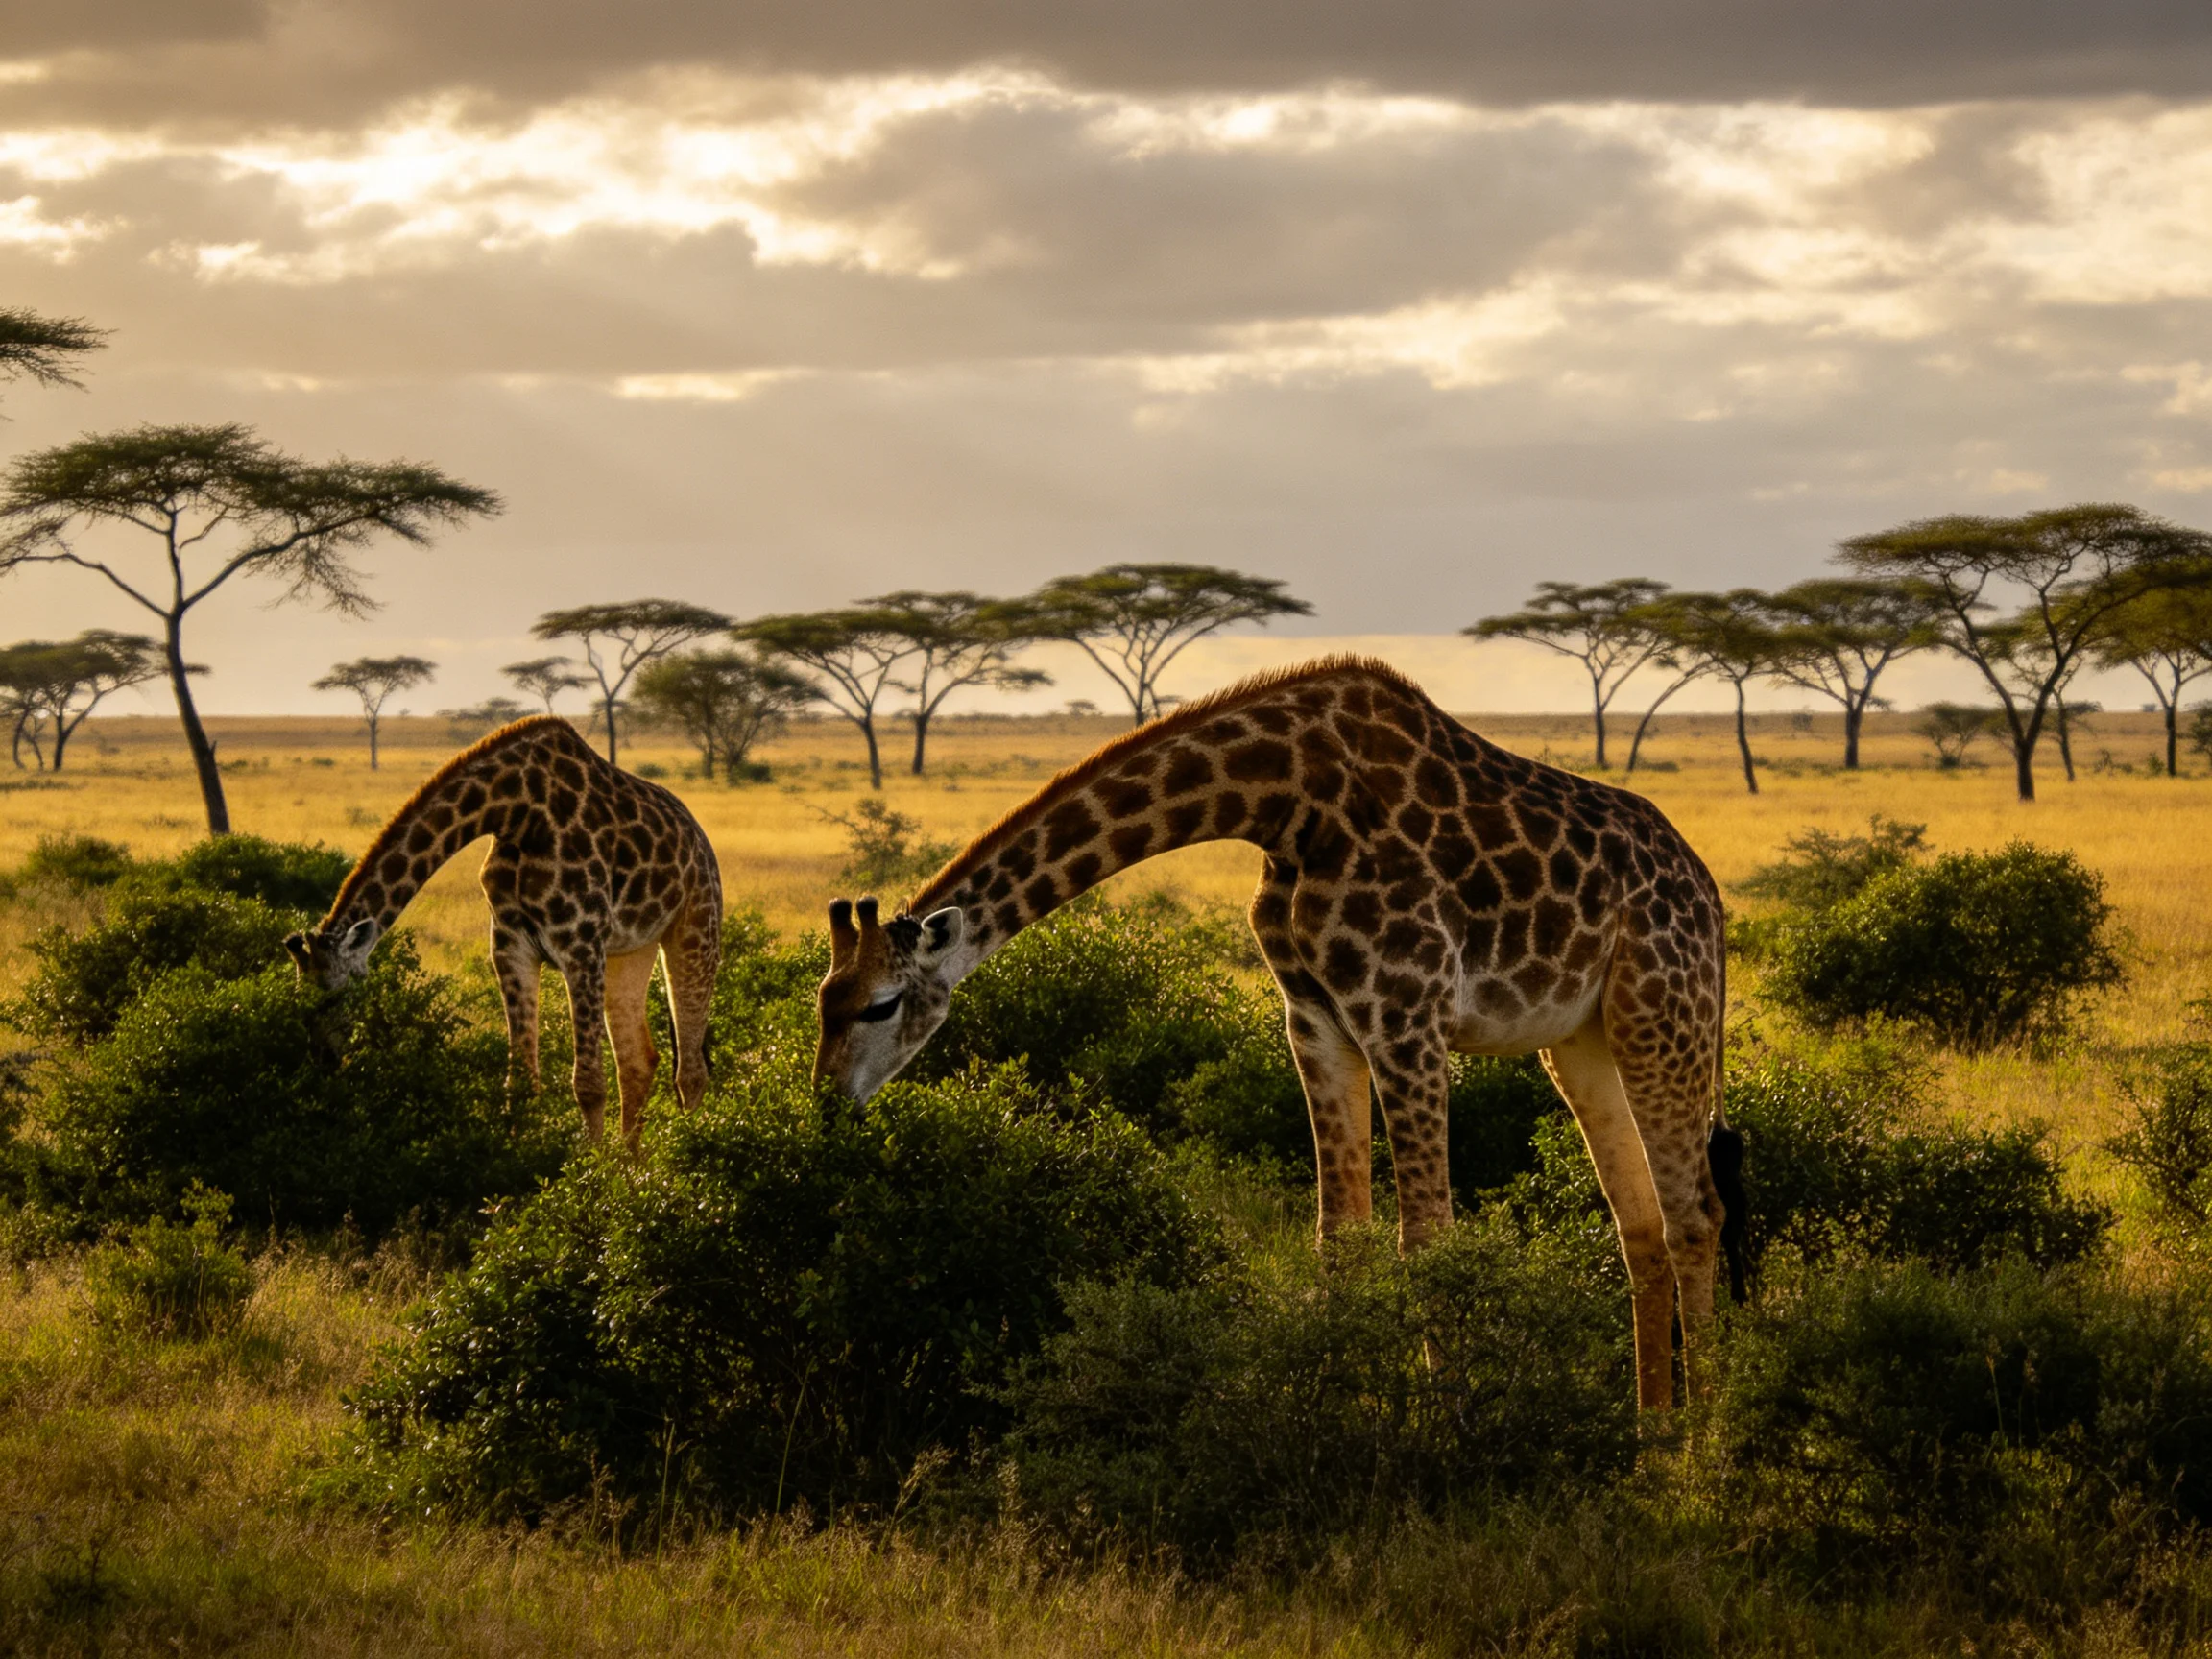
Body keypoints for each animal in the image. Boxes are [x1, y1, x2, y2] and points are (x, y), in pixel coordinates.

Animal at [283, 715, 723, 1149]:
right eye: (298, 1001)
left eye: (329, 998)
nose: (323, 1063)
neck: (517, 812)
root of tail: (699, 837)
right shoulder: (511, 946)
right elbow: (521, 1083)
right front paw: (521, 1155)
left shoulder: (581, 944)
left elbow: (588, 1083)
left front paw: (590, 1169)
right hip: (630, 950)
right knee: (637, 1061)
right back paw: (632, 1165)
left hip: (697, 927)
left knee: (690, 1069)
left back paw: (690, 1148)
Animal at [813, 658, 1745, 1409]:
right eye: (823, 998)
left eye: (881, 1006)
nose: (825, 1107)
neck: (1284, 802)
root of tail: (1708, 892)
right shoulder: (1318, 1023)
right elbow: (1341, 1243)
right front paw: (1344, 1419)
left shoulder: (1407, 1018)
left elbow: (1428, 1243)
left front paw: (1451, 1439)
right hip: (1580, 1040)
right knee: (1641, 1226)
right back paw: (1649, 1437)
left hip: (1664, 1010)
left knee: (1697, 1215)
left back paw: (1707, 1445)